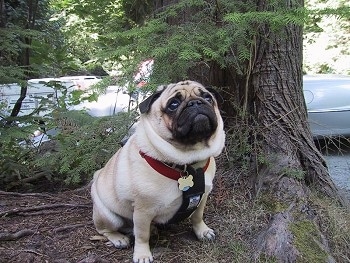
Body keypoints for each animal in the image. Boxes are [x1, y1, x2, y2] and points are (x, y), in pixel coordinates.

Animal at [90, 80, 226, 263]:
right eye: (173, 104)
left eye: (208, 98)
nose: (195, 103)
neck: (188, 164)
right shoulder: (143, 211)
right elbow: (142, 235)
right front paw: (142, 254)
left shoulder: (202, 197)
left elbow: (197, 217)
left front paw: (202, 231)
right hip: (108, 216)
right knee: (105, 230)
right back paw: (119, 238)